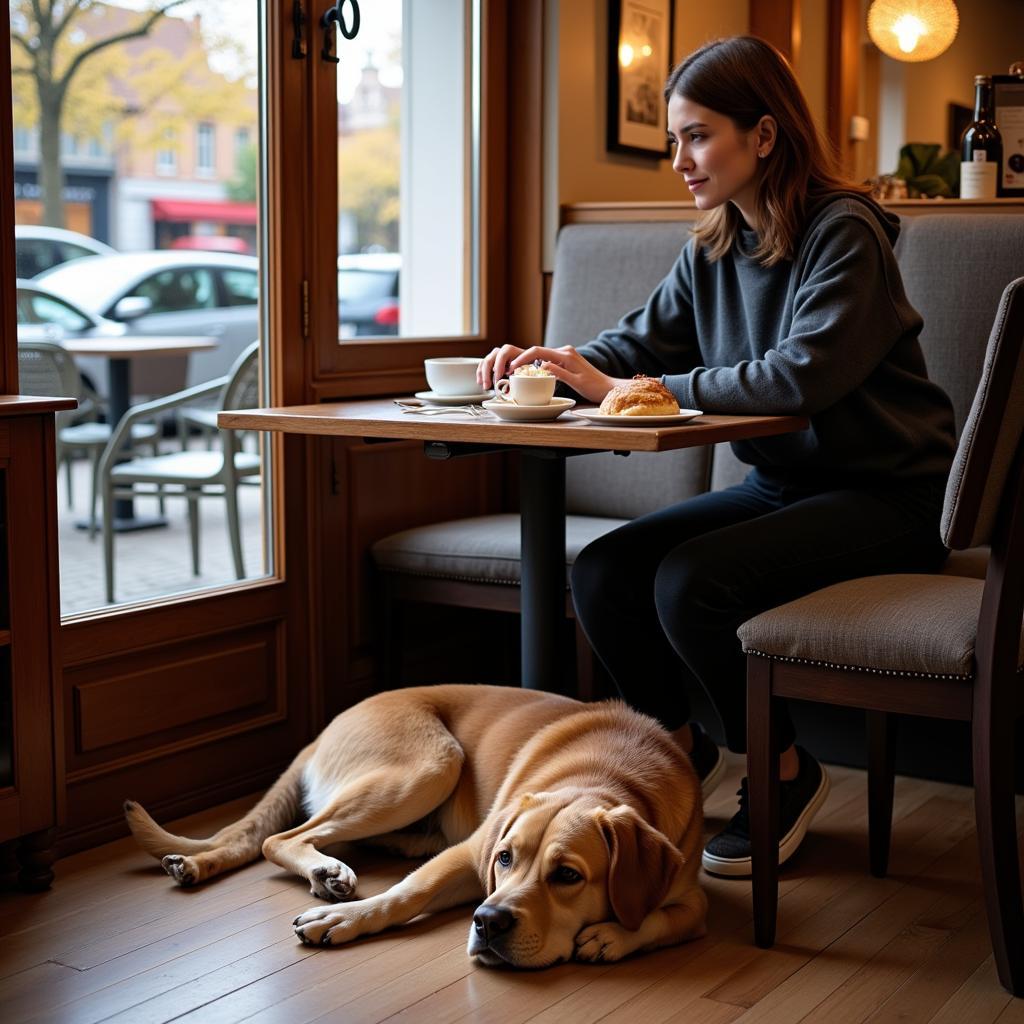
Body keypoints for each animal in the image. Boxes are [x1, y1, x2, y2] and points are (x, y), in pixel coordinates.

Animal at [123, 684, 708, 962]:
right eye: (505, 858)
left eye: (568, 876)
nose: (488, 921)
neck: (608, 773)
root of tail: (325, 729)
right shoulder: (472, 853)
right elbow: (403, 895)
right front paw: (345, 919)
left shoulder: (689, 890)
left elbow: (665, 919)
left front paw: (613, 935)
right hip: (430, 765)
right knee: (280, 837)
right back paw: (325, 872)